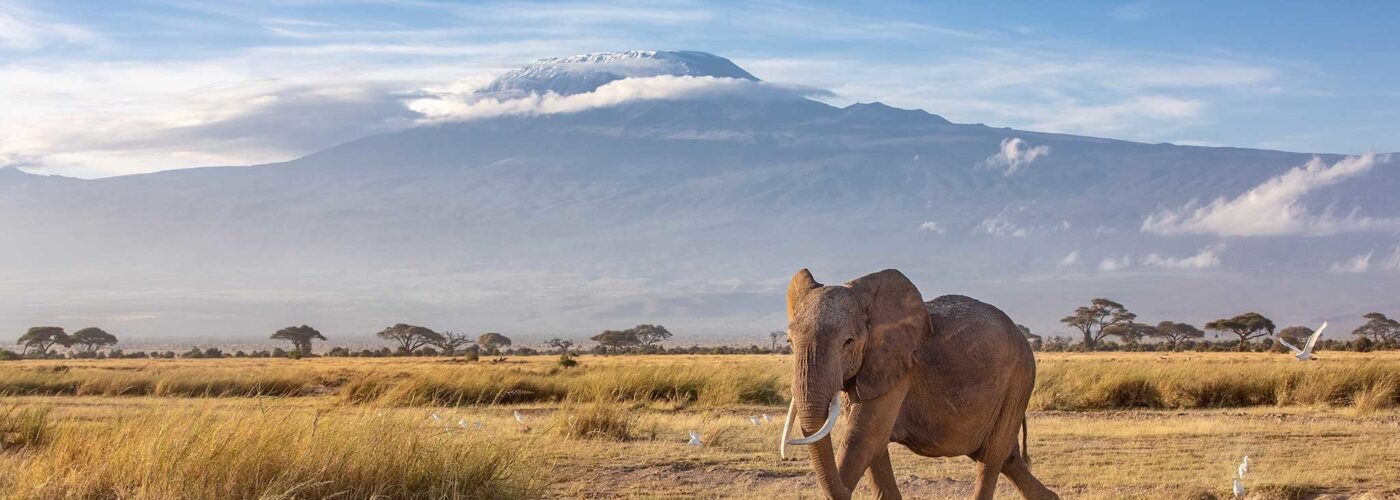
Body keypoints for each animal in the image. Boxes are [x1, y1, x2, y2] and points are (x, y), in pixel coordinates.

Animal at [778, 268, 1058, 500]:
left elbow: (863, 438)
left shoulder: (899, 367)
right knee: (1007, 458)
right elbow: (874, 445)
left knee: (991, 457)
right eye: (789, 342)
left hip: (1019, 380)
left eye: (848, 342)